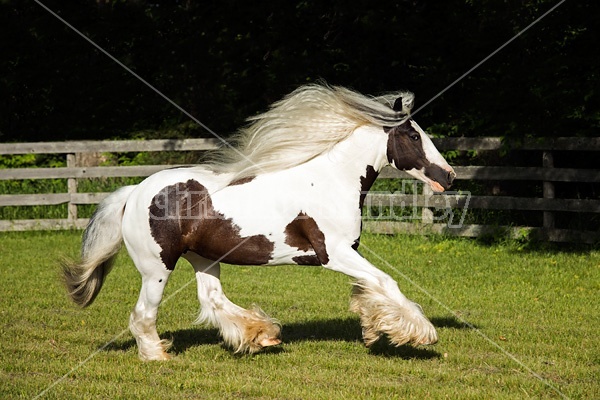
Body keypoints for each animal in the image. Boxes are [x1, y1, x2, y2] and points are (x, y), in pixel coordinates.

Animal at [62, 83, 454, 360]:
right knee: (143, 314)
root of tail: (133, 194)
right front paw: (420, 333)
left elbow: (367, 288)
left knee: (212, 299)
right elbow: (385, 281)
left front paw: (375, 332)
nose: (449, 177)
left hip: (204, 258)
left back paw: (260, 335)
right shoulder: (334, 253)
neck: (330, 180)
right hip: (156, 267)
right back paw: (159, 356)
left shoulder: (350, 252)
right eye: (414, 135)